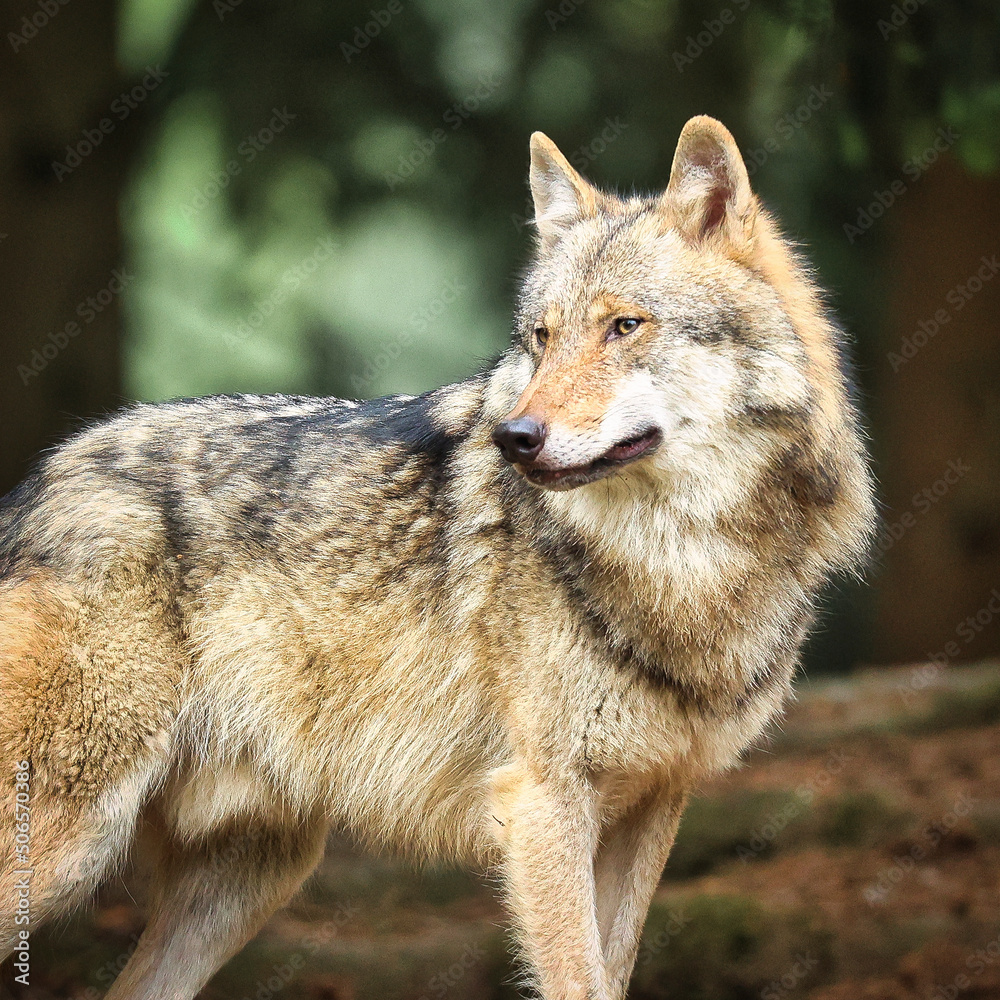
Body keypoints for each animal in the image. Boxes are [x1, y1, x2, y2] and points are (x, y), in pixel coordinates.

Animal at [0, 116, 874, 999]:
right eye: (541, 337)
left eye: (625, 326)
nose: (515, 437)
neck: (680, 562)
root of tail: (40, 481)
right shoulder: (544, 803)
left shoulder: (653, 803)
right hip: (69, 846)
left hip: (247, 877)